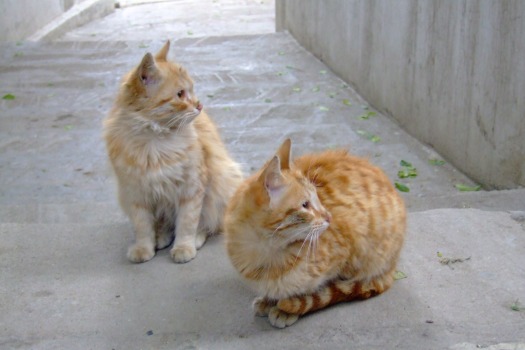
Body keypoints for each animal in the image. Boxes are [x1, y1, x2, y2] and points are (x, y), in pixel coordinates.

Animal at [104, 41, 244, 264]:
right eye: (180, 94)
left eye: (192, 90)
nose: (199, 105)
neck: (155, 141)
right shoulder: (136, 193)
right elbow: (143, 227)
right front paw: (144, 248)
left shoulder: (192, 188)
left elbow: (187, 222)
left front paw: (184, 246)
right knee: (164, 224)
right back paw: (160, 237)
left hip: (222, 184)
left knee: (209, 224)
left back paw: (195, 239)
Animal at [224, 139, 406, 328]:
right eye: (305, 205)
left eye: (318, 198)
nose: (329, 217)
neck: (269, 254)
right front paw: (269, 300)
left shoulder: (349, 247)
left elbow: (310, 288)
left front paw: (287, 308)